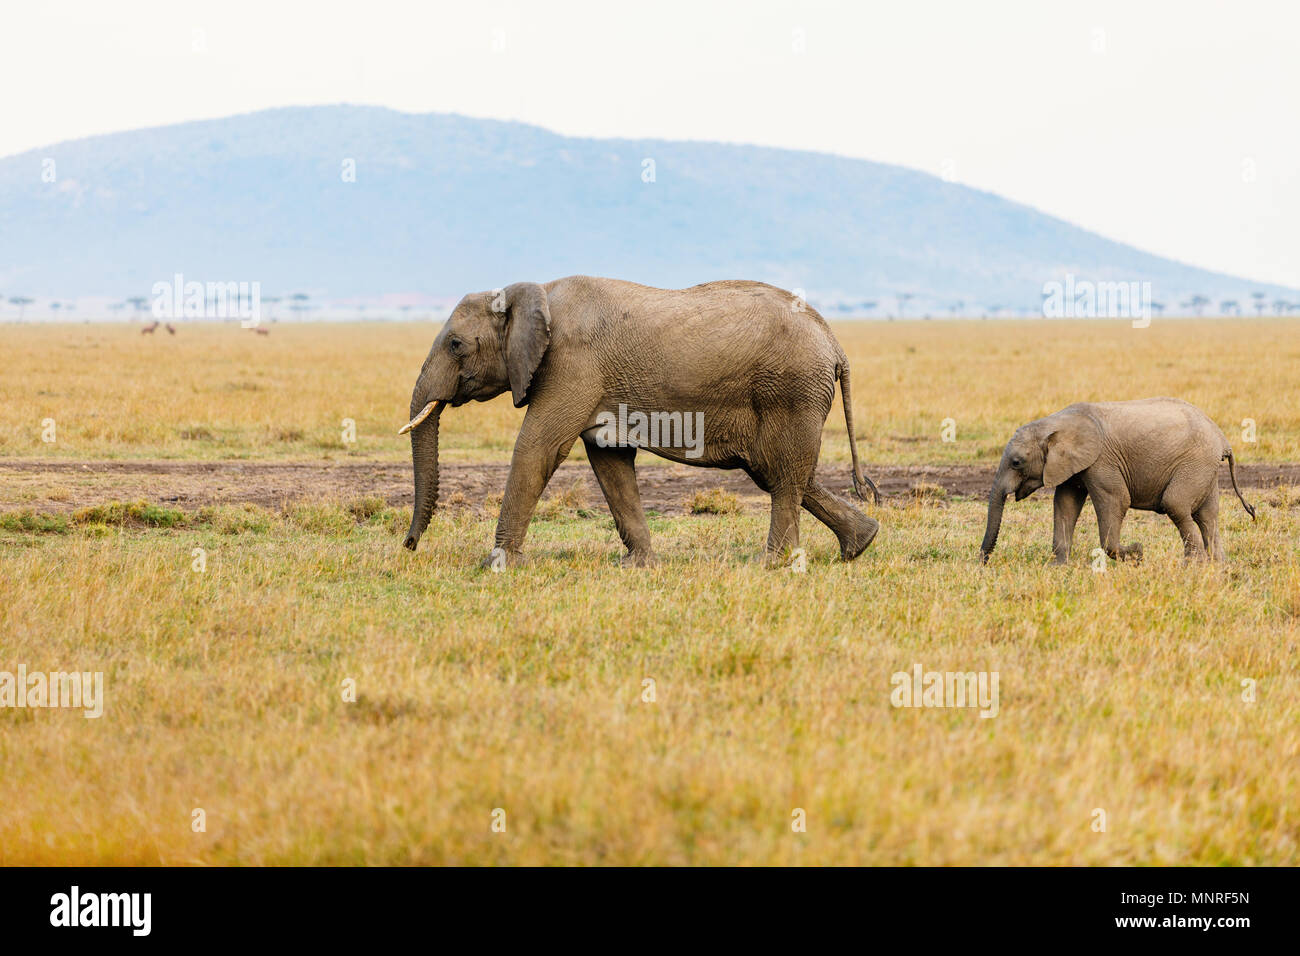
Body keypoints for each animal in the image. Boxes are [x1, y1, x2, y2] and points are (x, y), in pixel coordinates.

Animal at [398, 276, 882, 567]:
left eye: (456, 345)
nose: (408, 547)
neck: (531, 290)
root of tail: (836, 345)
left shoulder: (572, 367)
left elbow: (538, 448)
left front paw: (496, 565)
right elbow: (610, 462)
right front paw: (639, 565)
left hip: (790, 391)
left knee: (782, 476)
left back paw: (774, 565)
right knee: (782, 473)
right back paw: (860, 545)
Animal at [979, 398, 1255, 565]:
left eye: (1017, 462)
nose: (982, 563)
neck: (1056, 422)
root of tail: (1222, 439)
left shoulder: (1102, 462)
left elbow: (1116, 501)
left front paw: (1137, 553)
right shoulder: (1073, 465)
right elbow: (1065, 504)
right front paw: (1058, 567)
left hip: (1195, 463)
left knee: (1176, 505)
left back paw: (1193, 567)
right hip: (1205, 470)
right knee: (1207, 516)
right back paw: (1216, 566)